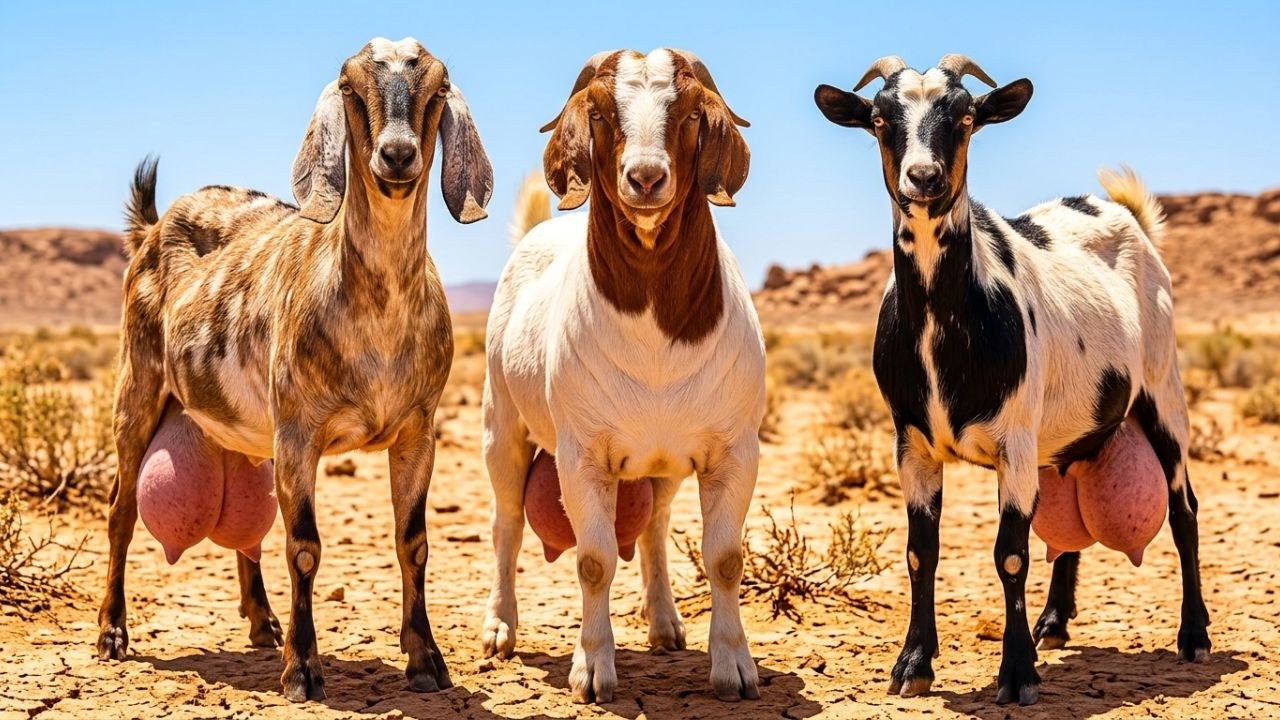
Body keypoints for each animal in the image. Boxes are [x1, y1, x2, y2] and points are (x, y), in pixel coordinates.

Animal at [95, 37, 493, 701]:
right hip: (140, 383)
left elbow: (414, 543)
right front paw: (303, 670)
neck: (376, 319)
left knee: (247, 527)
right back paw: (111, 633)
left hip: (248, 430)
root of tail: (150, 228)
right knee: (121, 509)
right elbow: (304, 546)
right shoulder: (300, 432)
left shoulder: (417, 430)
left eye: (437, 90)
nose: (397, 155)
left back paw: (261, 622)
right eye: (352, 88)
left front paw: (426, 660)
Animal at [480, 48, 762, 704]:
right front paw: (591, 671)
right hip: (501, 424)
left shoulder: (734, 451)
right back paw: (500, 627)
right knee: (506, 521)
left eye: (691, 112)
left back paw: (663, 624)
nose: (646, 178)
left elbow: (725, 559)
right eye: (602, 113)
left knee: (656, 527)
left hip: (664, 464)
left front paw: (734, 667)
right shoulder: (582, 456)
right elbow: (594, 561)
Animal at [813, 55, 1209, 706]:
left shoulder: (1013, 442)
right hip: (1062, 437)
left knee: (1184, 509)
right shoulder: (911, 443)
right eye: (879, 119)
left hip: (1161, 388)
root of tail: (1129, 217)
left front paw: (1017, 673)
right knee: (1070, 523)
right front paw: (913, 664)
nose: (923, 178)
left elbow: (1011, 555)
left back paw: (1194, 635)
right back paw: (1054, 622)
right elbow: (921, 552)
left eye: (966, 116)